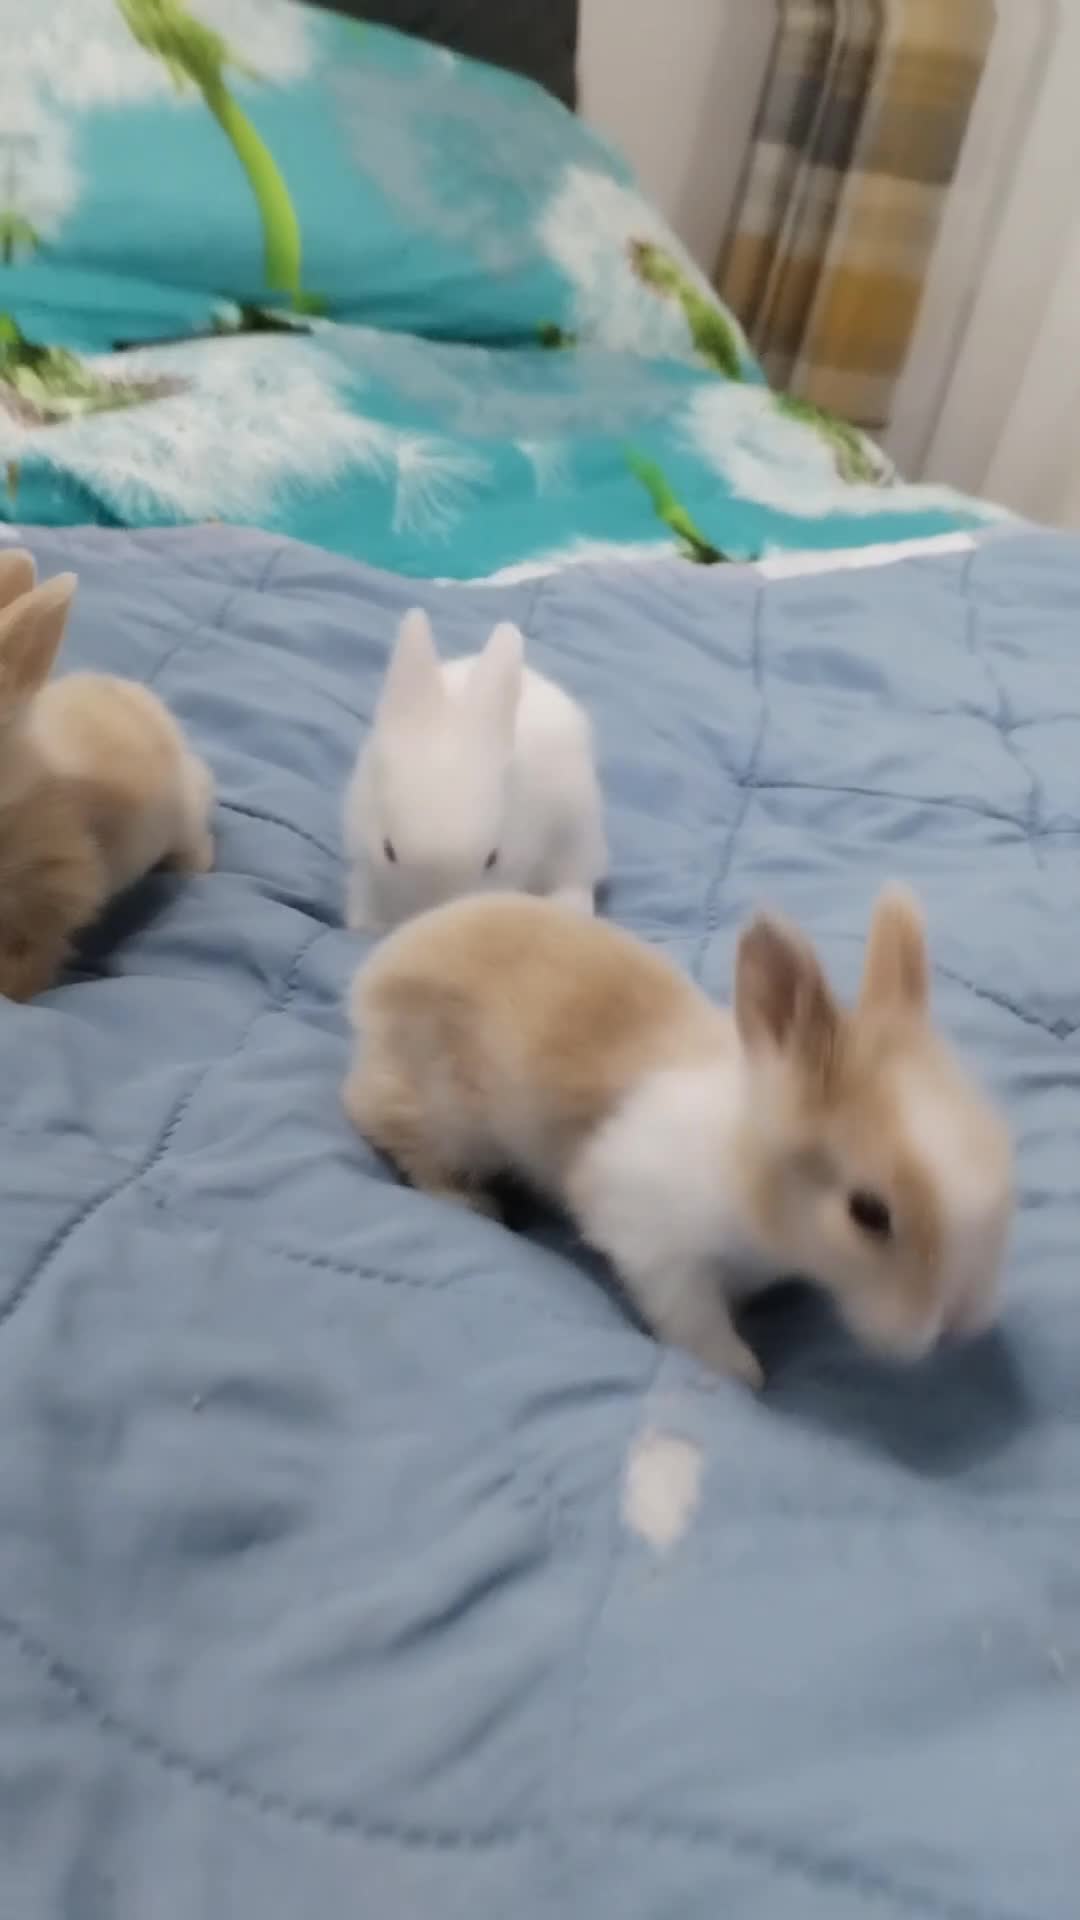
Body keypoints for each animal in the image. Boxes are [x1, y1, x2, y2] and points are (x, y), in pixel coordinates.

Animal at [343, 885, 1013, 1388]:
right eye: (869, 1212)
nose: (958, 1322)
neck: (742, 1168)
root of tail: (379, 969)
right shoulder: (650, 1238)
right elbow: (690, 1314)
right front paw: (741, 1372)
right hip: (445, 1116)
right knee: (379, 1118)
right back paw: (468, 1201)